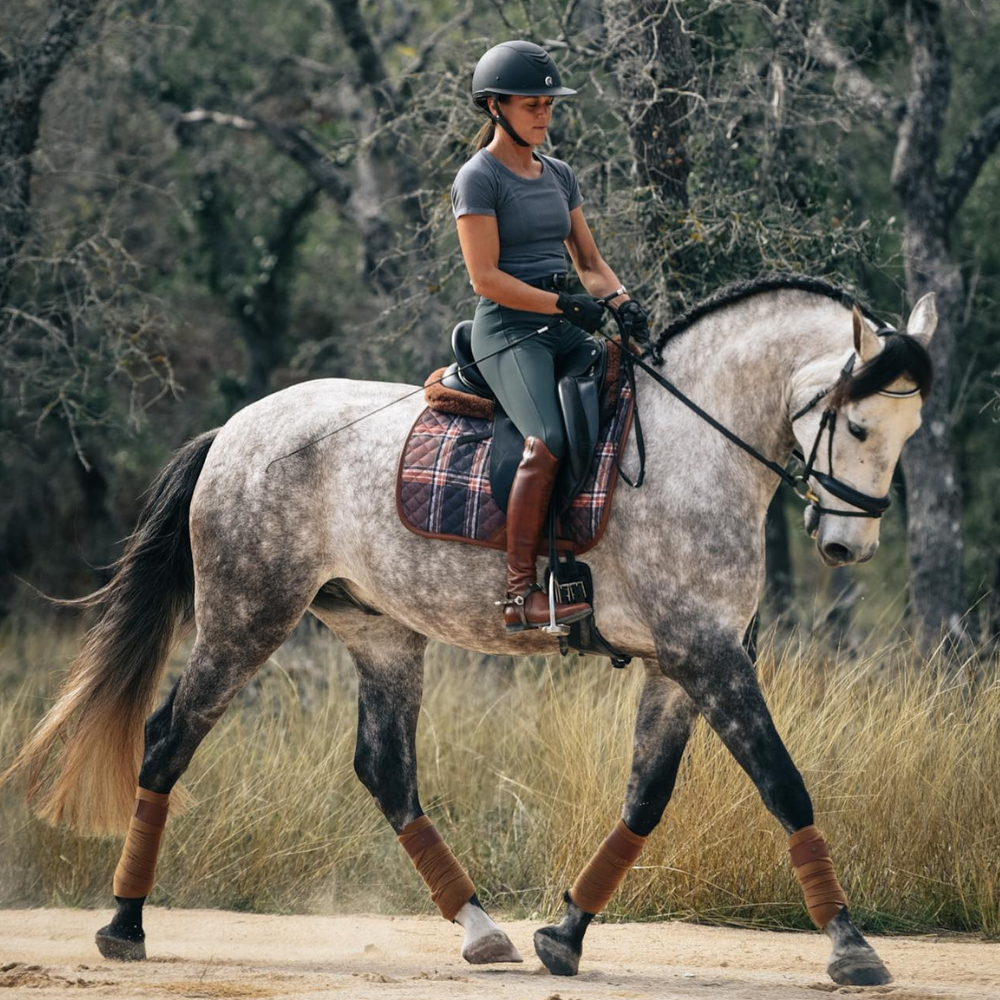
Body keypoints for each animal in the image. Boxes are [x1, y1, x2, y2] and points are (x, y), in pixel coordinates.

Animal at [1, 278, 936, 988]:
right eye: (857, 425)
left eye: (911, 431)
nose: (848, 547)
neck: (692, 448)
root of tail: (234, 430)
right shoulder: (707, 656)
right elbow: (785, 785)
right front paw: (852, 948)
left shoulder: (680, 662)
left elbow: (645, 797)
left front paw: (564, 935)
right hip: (246, 617)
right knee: (168, 740)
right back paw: (124, 925)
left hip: (380, 634)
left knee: (386, 770)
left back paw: (482, 930)